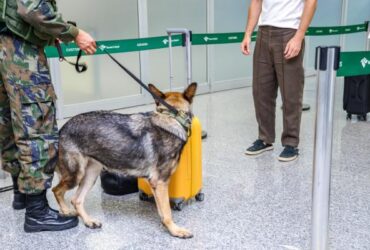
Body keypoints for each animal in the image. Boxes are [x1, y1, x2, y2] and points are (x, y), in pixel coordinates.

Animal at [52, 82, 197, 238]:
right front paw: (175, 230)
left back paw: (89, 221)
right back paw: (66, 211)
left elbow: (162, 211)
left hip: (90, 175)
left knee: (76, 199)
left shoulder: (156, 184)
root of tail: (62, 130)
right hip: (76, 175)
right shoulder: (160, 182)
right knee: (57, 190)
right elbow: (167, 212)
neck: (171, 118)